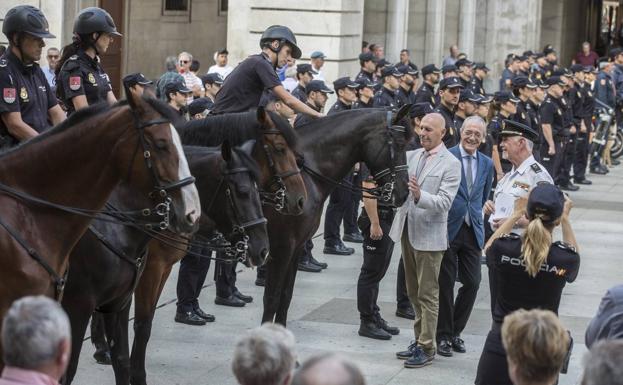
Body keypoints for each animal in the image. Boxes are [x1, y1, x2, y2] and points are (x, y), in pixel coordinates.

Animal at [62, 140, 270, 382]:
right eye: (243, 192)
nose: (262, 249)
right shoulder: (151, 271)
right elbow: (142, 324)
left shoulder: (161, 270)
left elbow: (146, 321)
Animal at [262, 105, 414, 324]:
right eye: (401, 144)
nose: (403, 193)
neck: (305, 172)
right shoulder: (281, 247)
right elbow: (272, 299)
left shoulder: (295, 246)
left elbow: (285, 296)